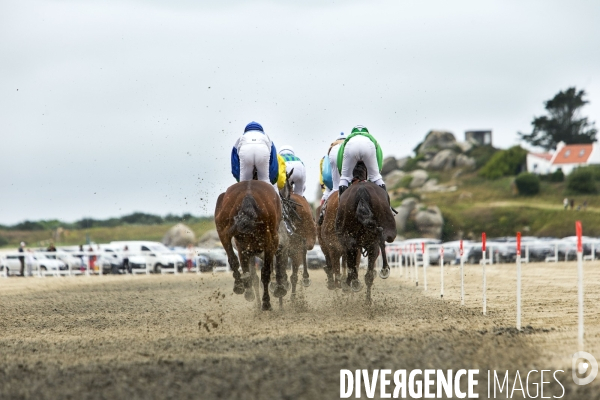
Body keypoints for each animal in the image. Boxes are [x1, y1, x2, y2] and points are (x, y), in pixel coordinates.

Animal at [336, 162, 396, 304]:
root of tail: (361, 192)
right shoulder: (370, 244)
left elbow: (351, 263)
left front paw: (349, 282)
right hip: (376, 237)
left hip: (350, 238)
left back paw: (354, 283)